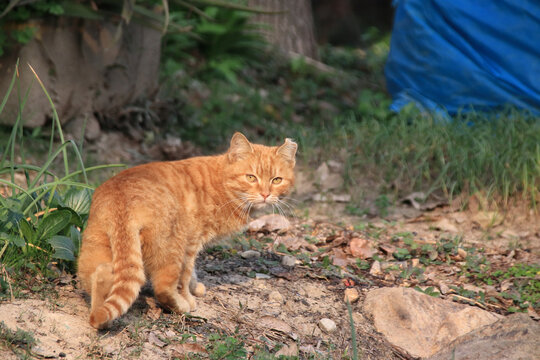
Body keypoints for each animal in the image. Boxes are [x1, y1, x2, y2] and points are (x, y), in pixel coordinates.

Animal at [77, 133, 296, 330]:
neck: (222, 184)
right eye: (251, 177)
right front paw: (188, 295)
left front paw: (194, 285)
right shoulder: (192, 241)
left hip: (97, 248)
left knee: (101, 274)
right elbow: (186, 273)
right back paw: (181, 306)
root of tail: (121, 198)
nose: (265, 194)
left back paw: (100, 321)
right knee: (163, 288)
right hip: (173, 245)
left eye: (277, 180)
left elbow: (191, 274)